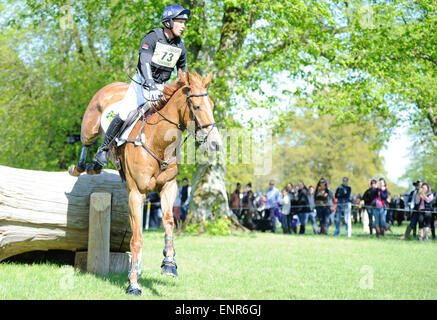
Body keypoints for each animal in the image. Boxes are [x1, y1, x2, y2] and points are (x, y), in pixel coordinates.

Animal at [68, 69, 221, 296]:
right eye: (197, 106)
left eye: (211, 105)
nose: (216, 143)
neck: (159, 143)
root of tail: (115, 85)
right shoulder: (136, 193)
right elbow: (137, 238)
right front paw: (133, 283)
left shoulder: (169, 187)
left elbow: (168, 222)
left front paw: (169, 263)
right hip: (90, 126)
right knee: (86, 142)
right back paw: (84, 166)